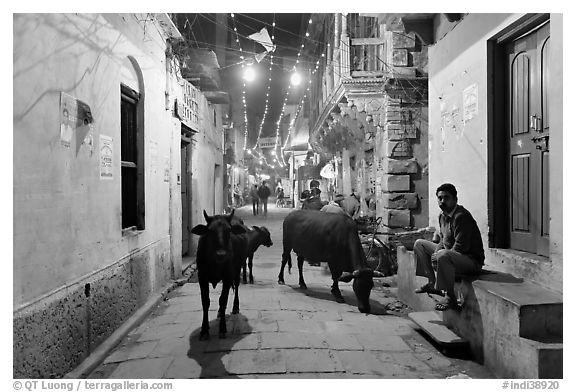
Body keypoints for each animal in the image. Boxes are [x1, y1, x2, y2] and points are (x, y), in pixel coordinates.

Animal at [192, 210, 246, 338]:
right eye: (210, 230)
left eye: (229, 230)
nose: (221, 254)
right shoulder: (202, 277)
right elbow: (205, 301)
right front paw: (204, 330)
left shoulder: (227, 276)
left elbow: (223, 300)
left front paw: (222, 328)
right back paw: (220, 312)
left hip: (237, 269)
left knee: (236, 286)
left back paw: (235, 307)